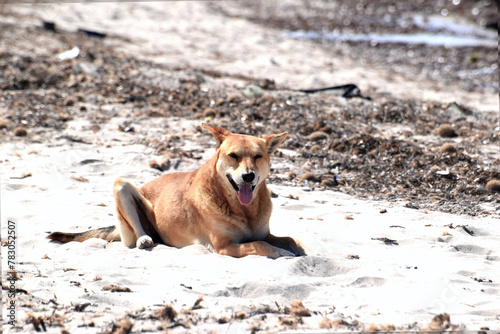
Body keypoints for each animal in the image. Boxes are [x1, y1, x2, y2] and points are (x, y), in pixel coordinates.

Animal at [47, 124, 304, 258]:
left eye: (258, 156)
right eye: (233, 156)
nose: (248, 176)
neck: (243, 210)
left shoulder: (265, 233)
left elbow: (291, 239)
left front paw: (299, 250)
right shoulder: (225, 246)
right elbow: (261, 245)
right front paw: (281, 253)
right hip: (121, 186)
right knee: (136, 231)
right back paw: (144, 239)